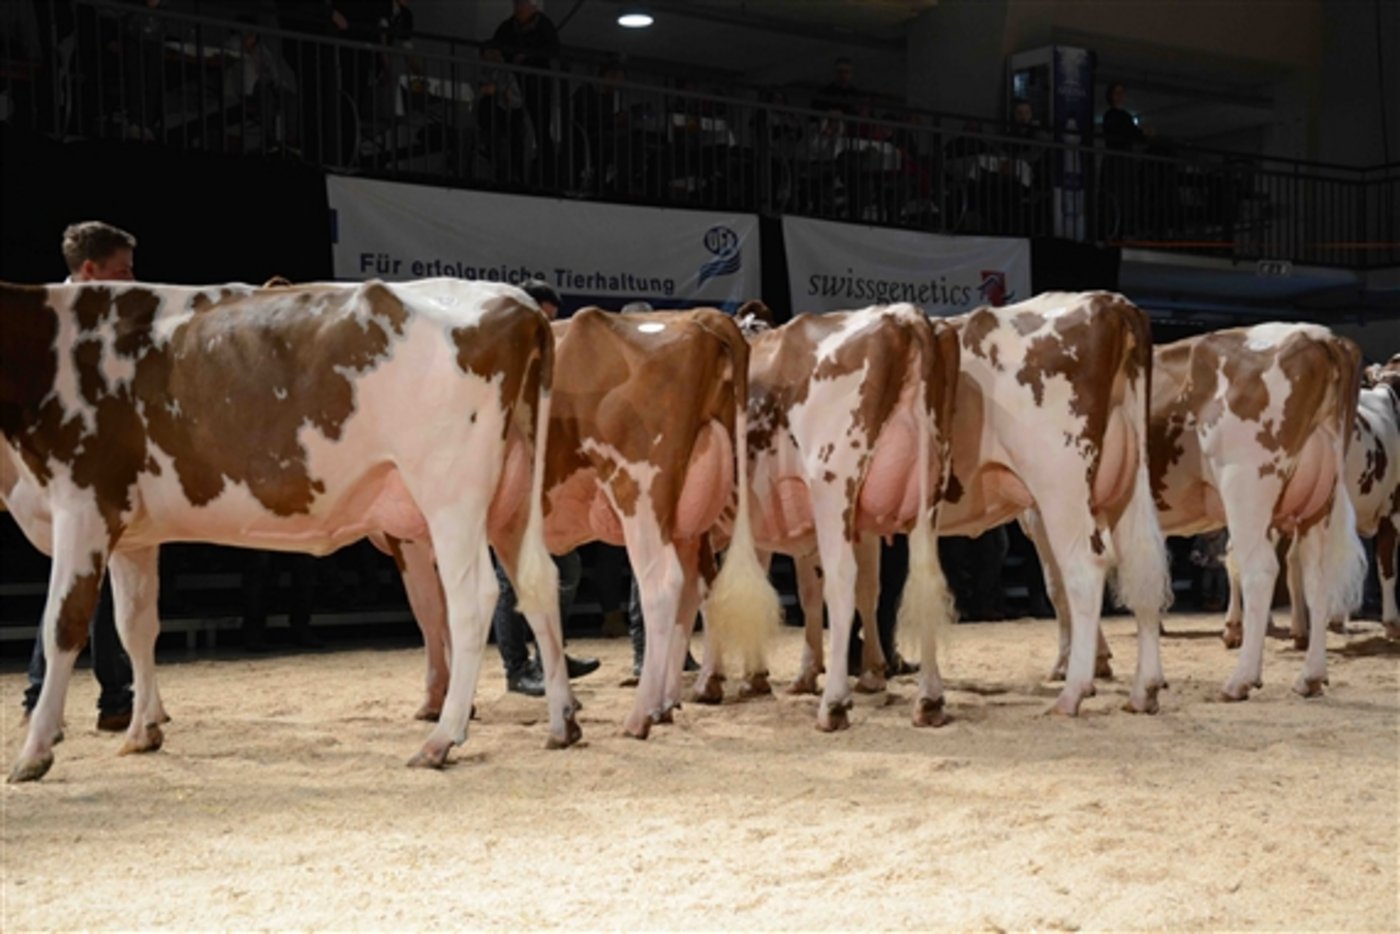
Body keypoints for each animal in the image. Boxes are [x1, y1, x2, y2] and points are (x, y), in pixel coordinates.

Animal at [0, 278, 563, 782]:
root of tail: (515, 302)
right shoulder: (131, 531)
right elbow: (135, 625)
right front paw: (142, 732)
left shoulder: (82, 503)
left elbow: (62, 624)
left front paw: (35, 751)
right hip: (511, 498)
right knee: (536, 583)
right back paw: (562, 723)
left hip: (450, 494)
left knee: (472, 599)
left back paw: (441, 739)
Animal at [395, 307, 783, 739]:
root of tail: (703, 320)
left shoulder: (407, 534)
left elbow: (429, 610)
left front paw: (437, 701)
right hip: (689, 515)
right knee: (695, 589)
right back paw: (669, 702)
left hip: (640, 492)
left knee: (663, 586)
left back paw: (641, 715)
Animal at [692, 303, 961, 731]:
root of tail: (902, 314)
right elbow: (783, 589)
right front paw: (757, 677)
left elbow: (707, 596)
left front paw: (709, 681)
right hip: (927, 497)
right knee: (925, 581)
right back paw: (929, 701)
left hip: (833, 489)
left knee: (844, 582)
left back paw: (834, 704)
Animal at [1136, 323, 1367, 701]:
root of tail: (1316, 334)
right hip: (1319, 504)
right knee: (1316, 578)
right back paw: (1310, 677)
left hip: (1245, 486)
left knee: (1259, 570)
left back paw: (1240, 680)